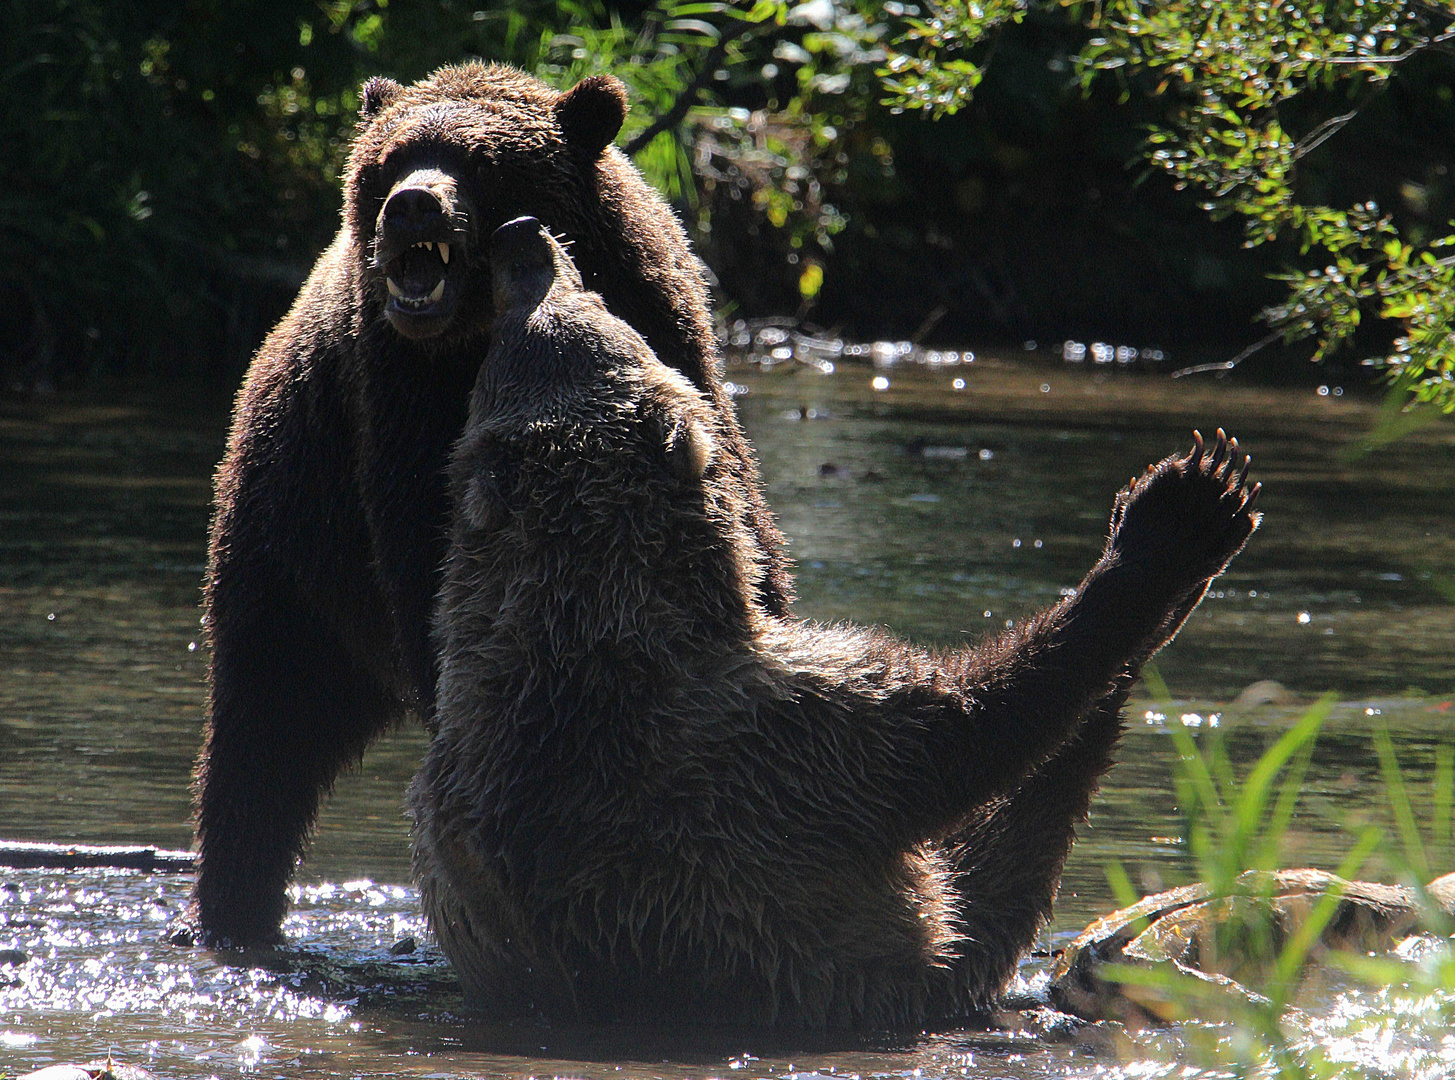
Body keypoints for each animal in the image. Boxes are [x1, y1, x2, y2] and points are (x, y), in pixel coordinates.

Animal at [413, 218, 1262, 1030]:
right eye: (581, 308)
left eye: (553, 301)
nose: (519, 235)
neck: (585, 633)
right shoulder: (767, 750)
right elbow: (967, 740)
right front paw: (1177, 516)